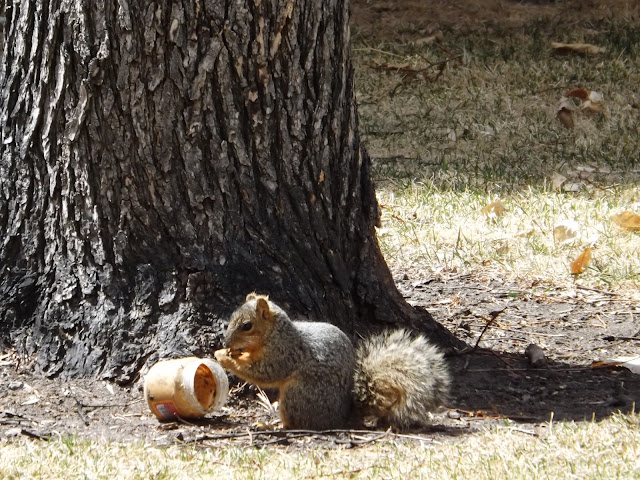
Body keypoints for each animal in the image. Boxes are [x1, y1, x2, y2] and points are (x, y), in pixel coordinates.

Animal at [215, 292, 450, 432]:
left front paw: (222, 356)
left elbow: (265, 373)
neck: (275, 333)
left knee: (298, 424)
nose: (226, 342)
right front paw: (230, 352)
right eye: (232, 317)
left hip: (299, 395)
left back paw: (272, 425)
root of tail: (344, 418)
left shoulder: (284, 353)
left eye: (247, 325)